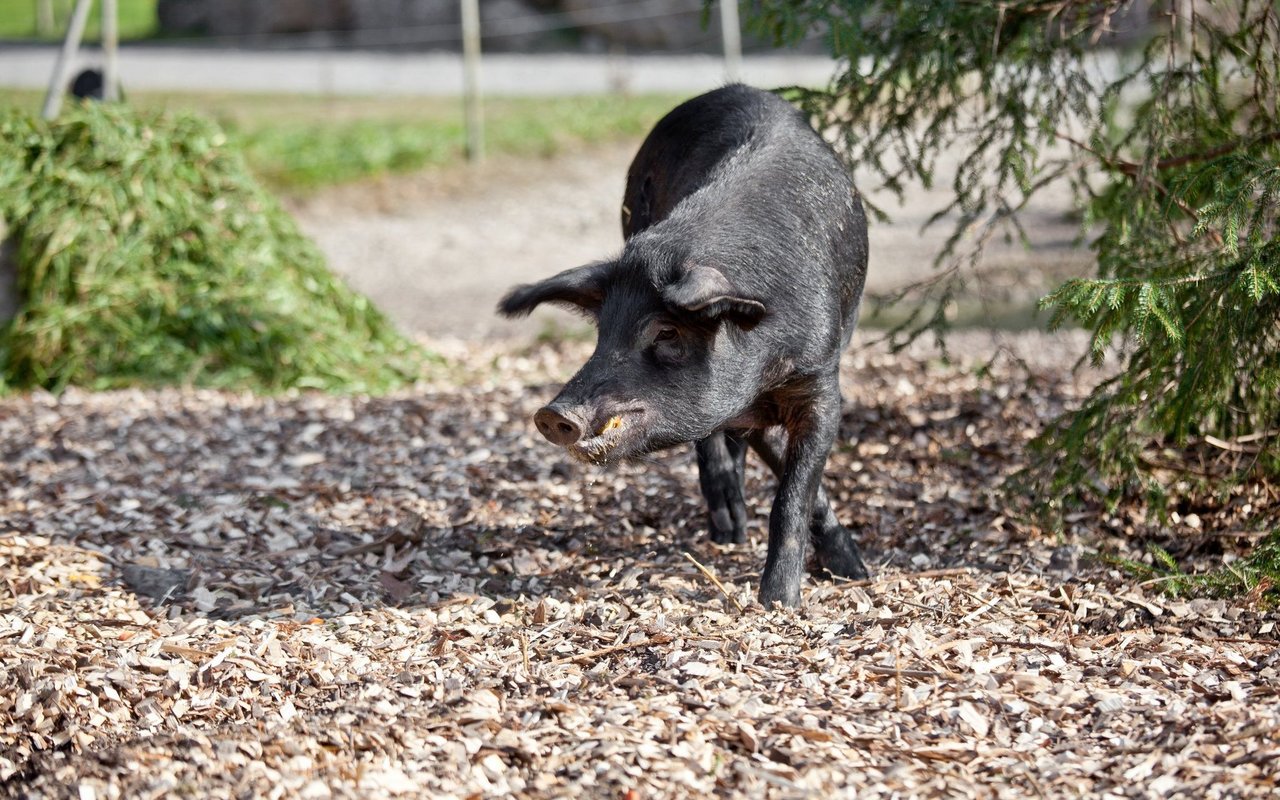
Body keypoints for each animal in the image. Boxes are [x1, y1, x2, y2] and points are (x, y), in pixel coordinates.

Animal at [499, 84, 870, 604]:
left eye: (666, 332)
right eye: (603, 332)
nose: (553, 414)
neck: (761, 371)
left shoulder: (820, 383)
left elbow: (793, 493)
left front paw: (806, 591)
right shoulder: (739, 409)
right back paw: (728, 527)